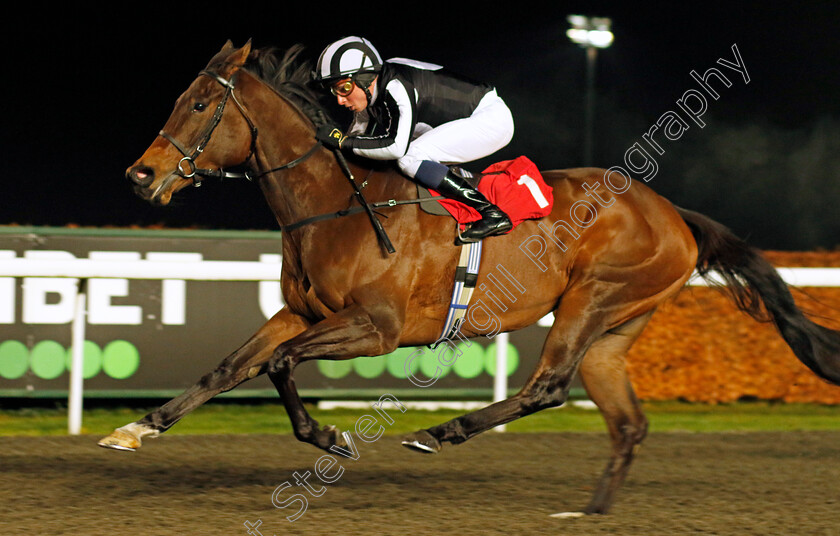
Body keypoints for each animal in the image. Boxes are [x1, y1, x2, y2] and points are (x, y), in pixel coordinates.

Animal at [103, 42, 840, 516]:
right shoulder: (303, 313)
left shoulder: (376, 328)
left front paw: (331, 437)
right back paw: (592, 511)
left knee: (548, 386)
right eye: (182, 99)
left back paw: (441, 431)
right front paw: (138, 428)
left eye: (201, 105)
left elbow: (280, 364)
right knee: (626, 421)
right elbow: (229, 367)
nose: (140, 175)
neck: (337, 201)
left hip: (592, 299)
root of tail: (673, 213)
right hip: (616, 328)